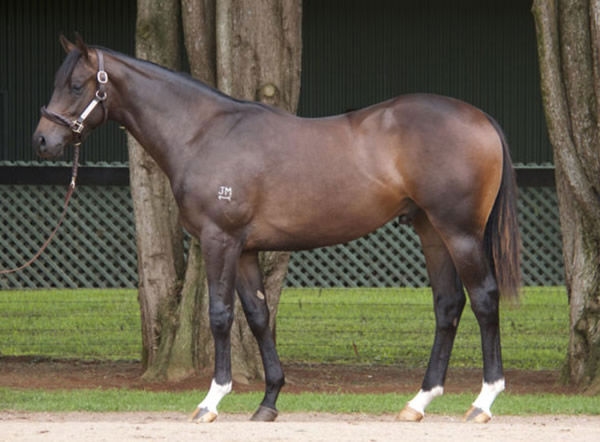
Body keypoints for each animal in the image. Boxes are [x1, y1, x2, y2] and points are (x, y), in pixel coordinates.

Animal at [34, 36, 520, 424]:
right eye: (57, 81)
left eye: (76, 85)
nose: (42, 140)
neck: (203, 134)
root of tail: (480, 118)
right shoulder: (246, 249)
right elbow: (258, 317)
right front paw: (268, 402)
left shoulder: (219, 240)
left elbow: (220, 316)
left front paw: (211, 401)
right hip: (431, 231)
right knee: (448, 305)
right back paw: (418, 403)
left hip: (459, 232)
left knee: (483, 299)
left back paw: (483, 402)